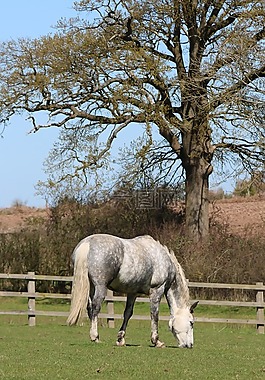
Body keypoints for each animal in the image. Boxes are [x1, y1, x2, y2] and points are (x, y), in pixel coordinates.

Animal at [67, 235, 197, 348]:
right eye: (191, 322)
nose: (190, 345)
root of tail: (87, 244)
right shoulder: (157, 290)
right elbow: (154, 314)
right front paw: (156, 341)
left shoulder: (132, 293)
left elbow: (128, 313)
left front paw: (120, 339)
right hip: (100, 287)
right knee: (95, 308)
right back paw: (95, 336)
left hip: (92, 287)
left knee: (89, 308)